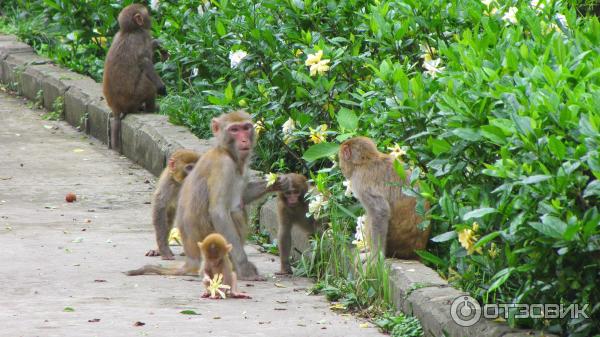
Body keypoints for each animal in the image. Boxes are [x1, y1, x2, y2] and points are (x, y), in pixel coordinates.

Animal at [102, 3, 165, 151]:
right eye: (147, 13)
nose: (151, 19)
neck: (129, 31)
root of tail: (116, 108)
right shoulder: (142, 36)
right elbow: (145, 61)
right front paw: (161, 87)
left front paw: (156, 44)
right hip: (133, 97)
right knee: (149, 83)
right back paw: (150, 110)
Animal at [127, 109, 282, 278]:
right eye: (234, 130)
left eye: (246, 127)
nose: (244, 140)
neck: (225, 151)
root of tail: (192, 261)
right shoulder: (223, 167)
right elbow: (218, 212)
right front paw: (244, 268)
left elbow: (244, 194)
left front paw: (280, 182)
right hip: (210, 244)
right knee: (235, 211)